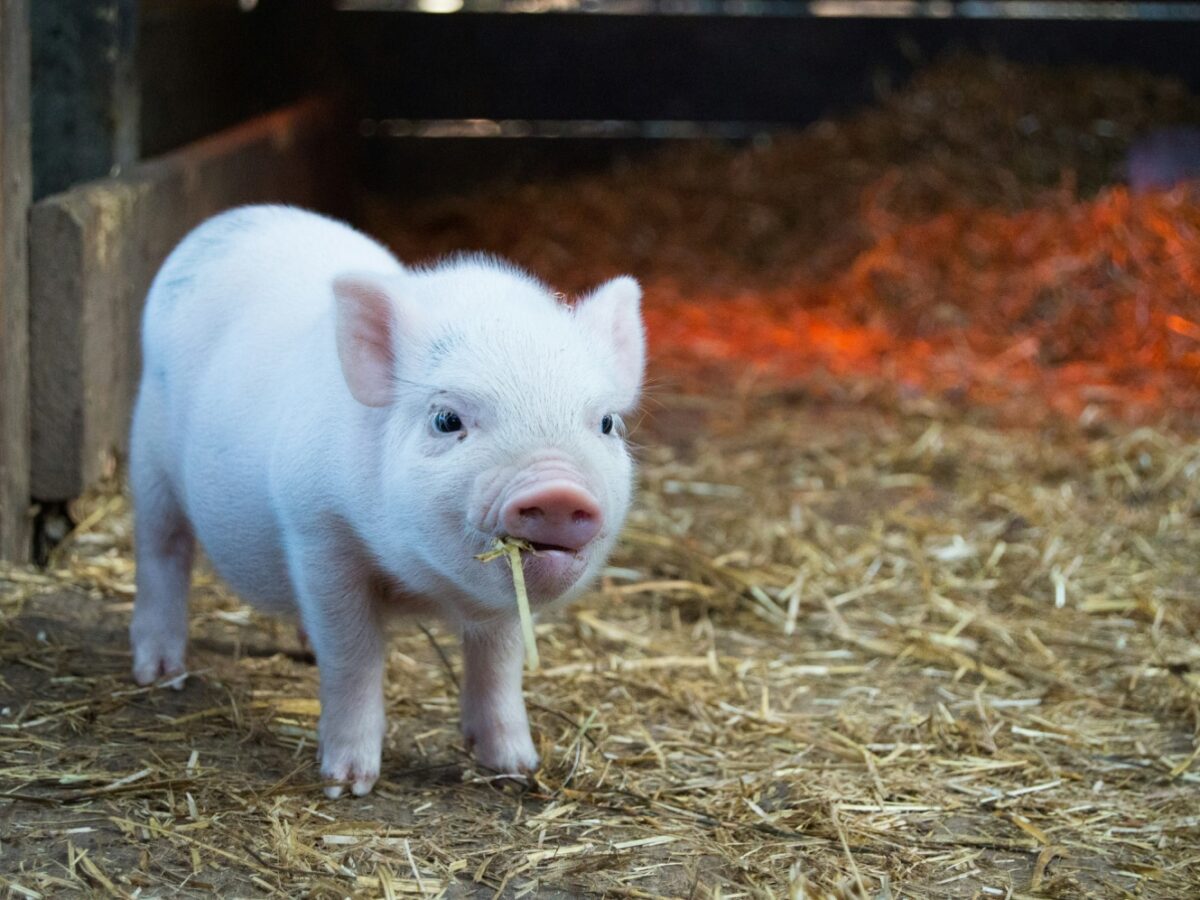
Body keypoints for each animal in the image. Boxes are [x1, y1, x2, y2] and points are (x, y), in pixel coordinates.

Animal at [126, 207, 643, 801]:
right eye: (446, 419)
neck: (424, 587)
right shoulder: (318, 533)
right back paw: (159, 673)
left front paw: (516, 767)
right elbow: (354, 656)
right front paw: (347, 784)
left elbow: (499, 662)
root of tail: (230, 219)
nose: (557, 490)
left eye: (606, 422)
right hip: (149, 457)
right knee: (162, 551)